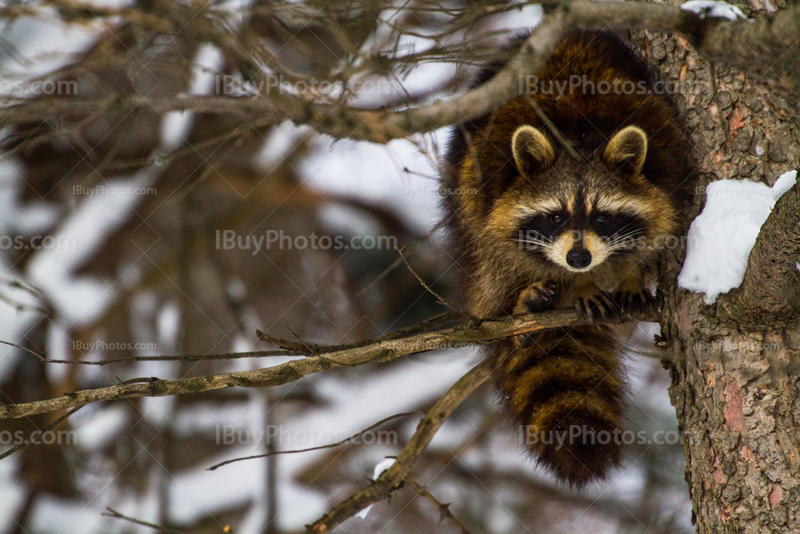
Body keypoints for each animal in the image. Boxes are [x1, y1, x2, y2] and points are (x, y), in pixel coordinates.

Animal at [444, 30, 692, 490]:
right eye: (556, 216)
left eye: (602, 217)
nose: (578, 258)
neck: (580, 138)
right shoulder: (490, 184)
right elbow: (503, 246)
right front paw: (581, 284)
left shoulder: (670, 161)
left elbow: (662, 232)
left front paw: (629, 275)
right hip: (465, 189)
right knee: (488, 257)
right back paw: (521, 303)